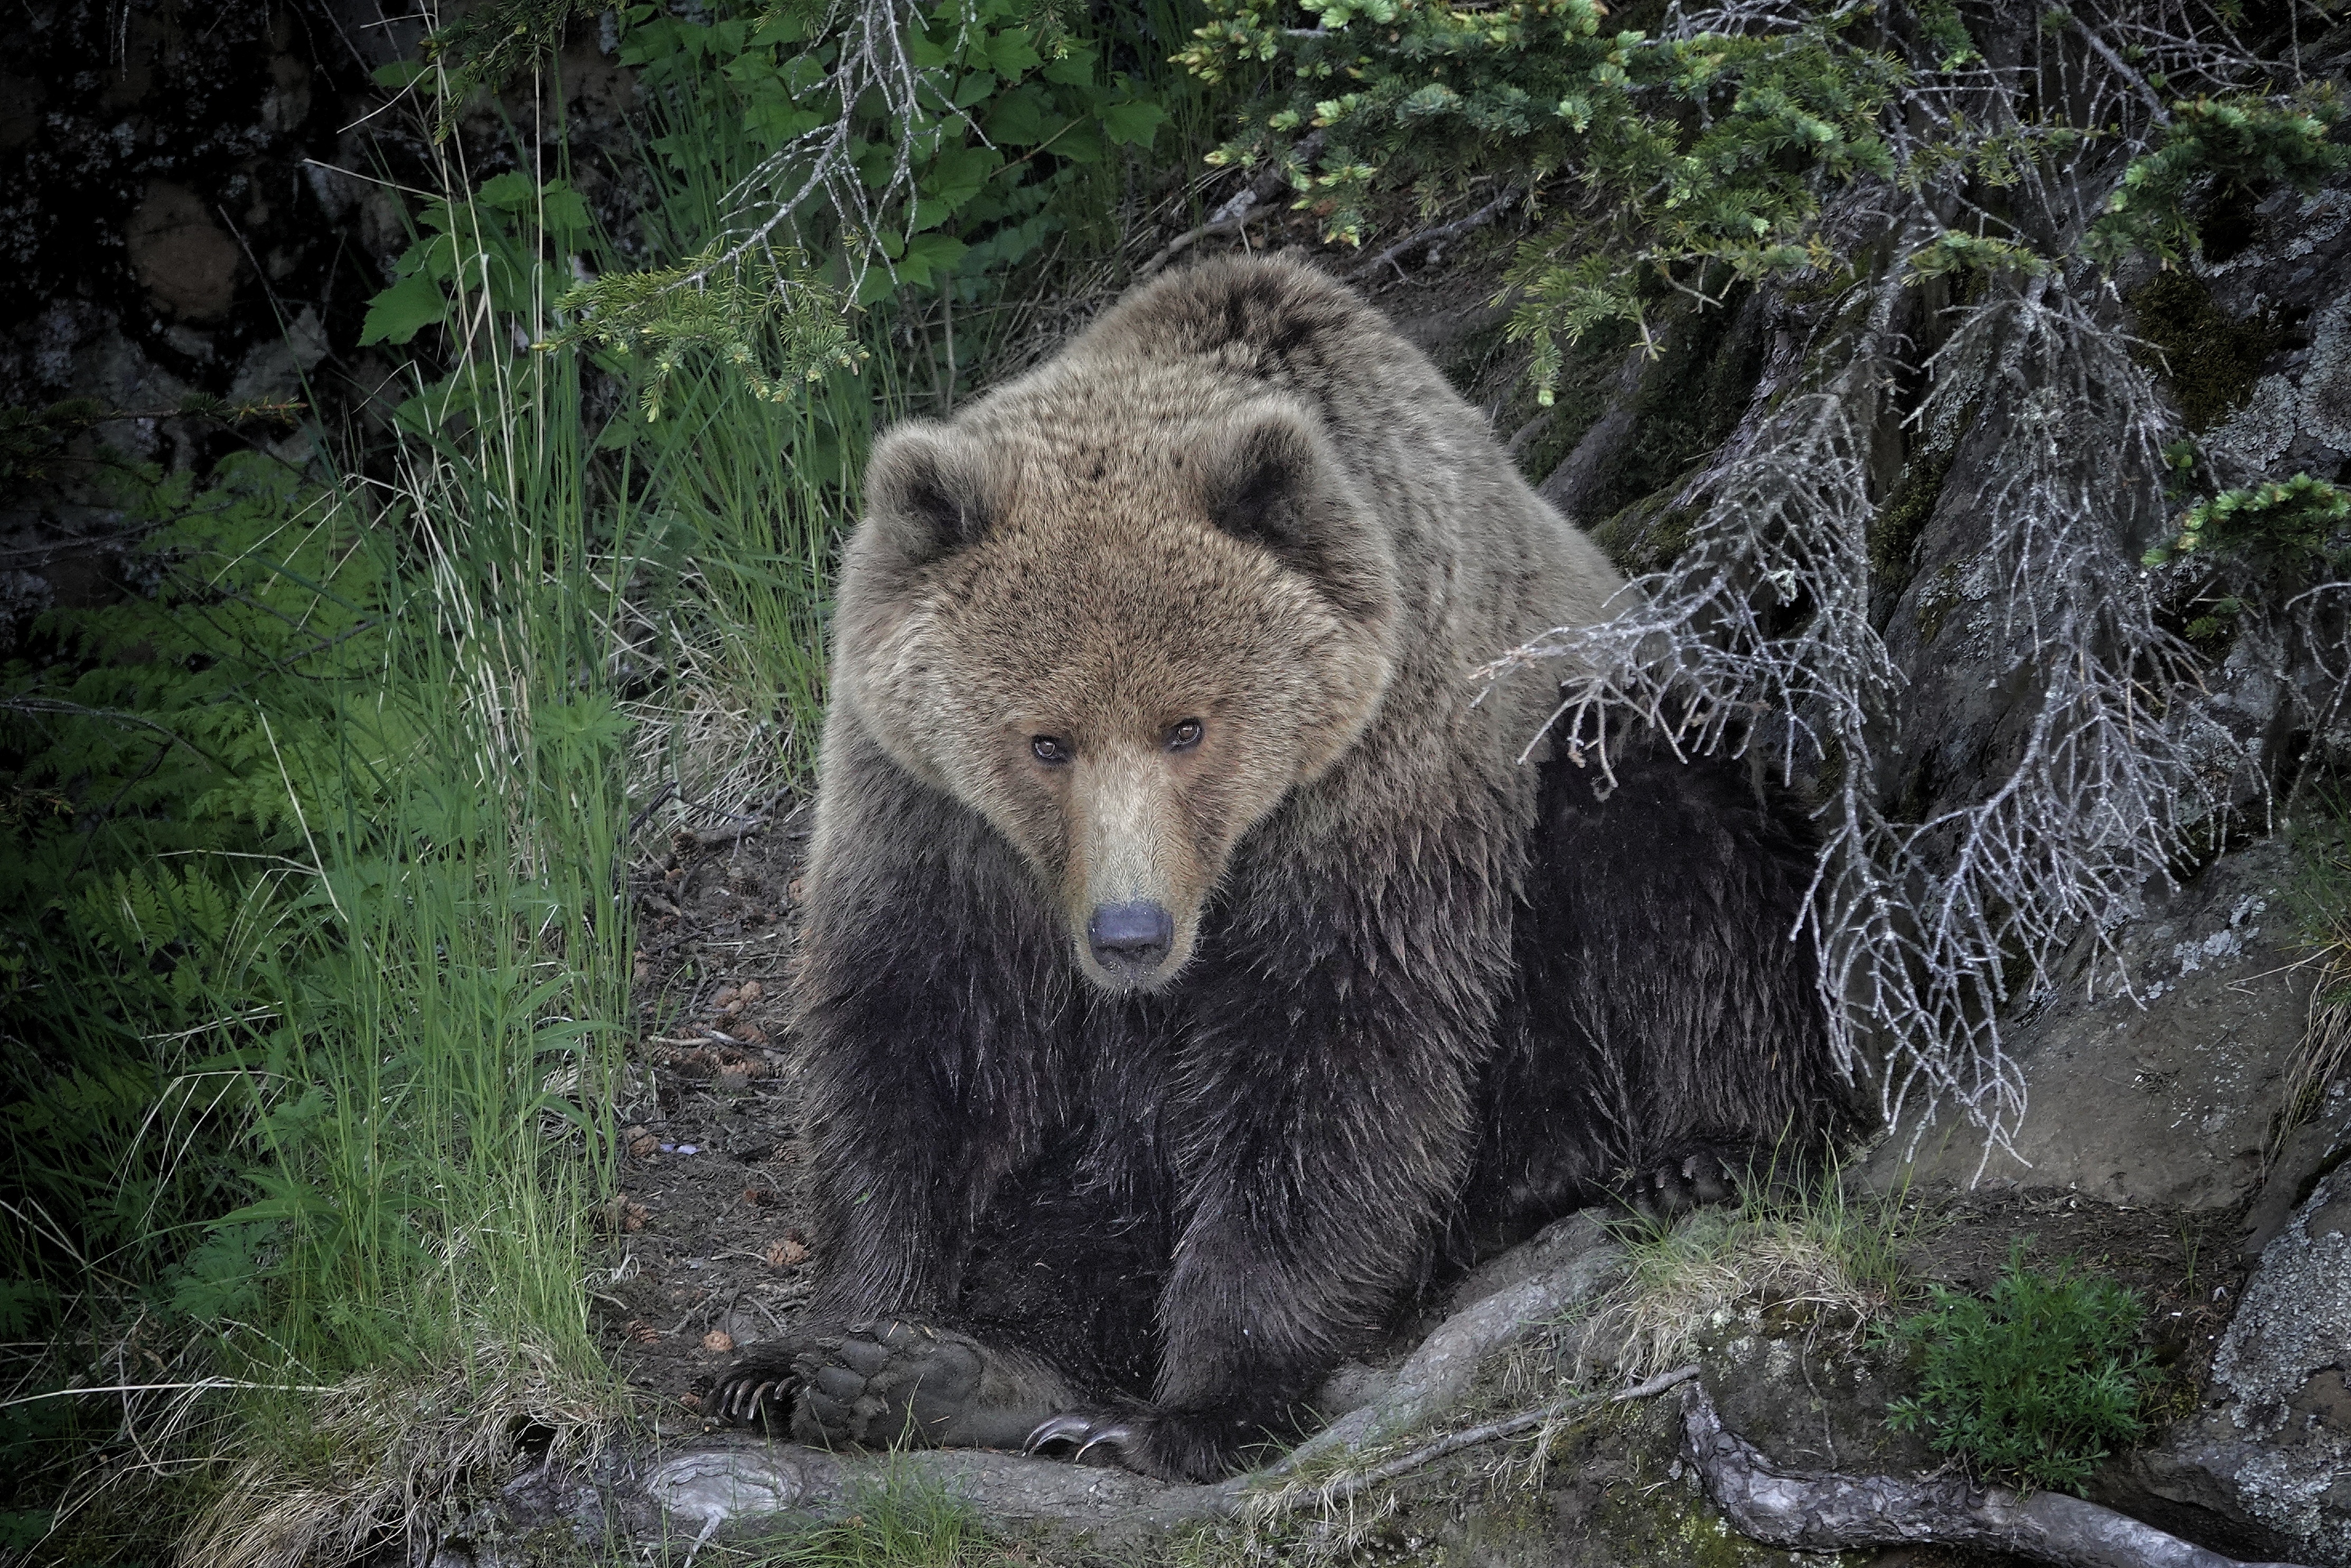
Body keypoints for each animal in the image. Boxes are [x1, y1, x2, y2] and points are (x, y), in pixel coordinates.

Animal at [708, 254, 1847, 1482]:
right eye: (1046, 739)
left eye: (1187, 725)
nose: (1130, 932)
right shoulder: (930, 817)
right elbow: (915, 1050)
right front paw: (821, 1351)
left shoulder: (1373, 778)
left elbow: (1329, 1058)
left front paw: (1198, 1405)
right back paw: (966, 1378)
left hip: (1594, 833)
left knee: (1672, 841)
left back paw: (1710, 1151)